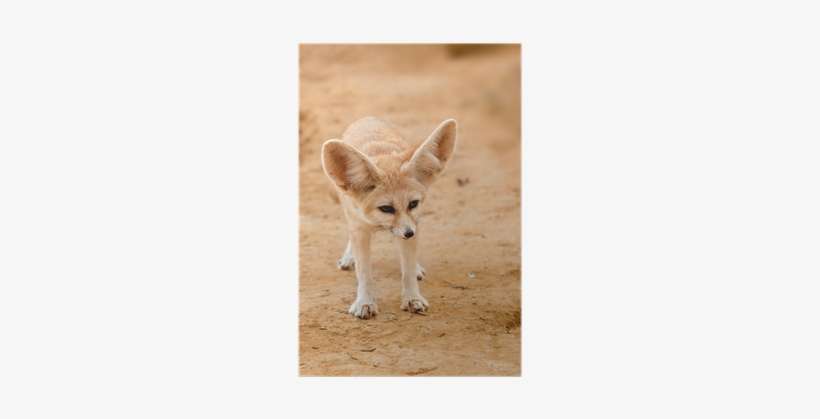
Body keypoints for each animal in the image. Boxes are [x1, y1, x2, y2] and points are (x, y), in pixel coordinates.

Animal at [320, 116, 458, 319]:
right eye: (386, 208)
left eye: (413, 204)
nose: (409, 234)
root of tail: (367, 118)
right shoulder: (360, 228)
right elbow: (364, 272)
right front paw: (365, 302)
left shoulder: (413, 223)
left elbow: (407, 270)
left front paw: (412, 298)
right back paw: (348, 257)